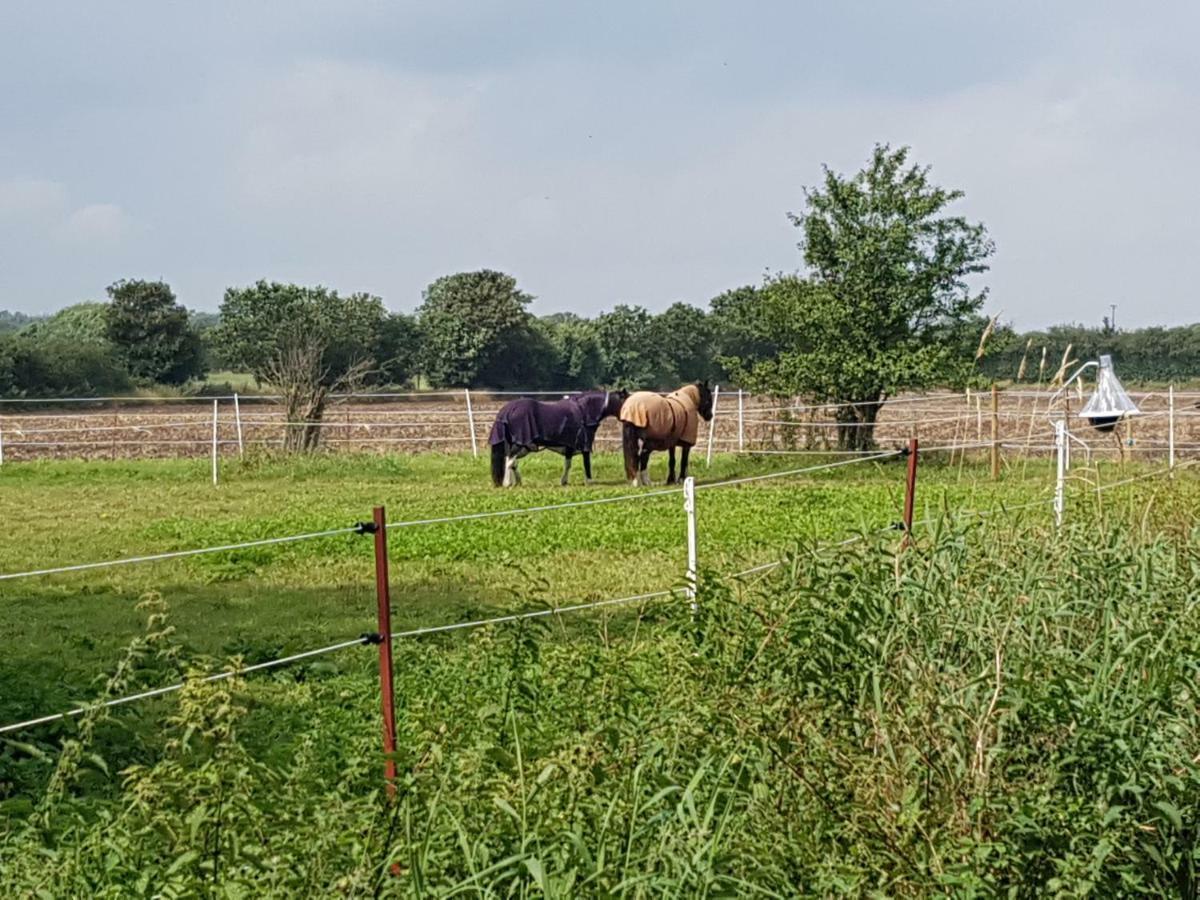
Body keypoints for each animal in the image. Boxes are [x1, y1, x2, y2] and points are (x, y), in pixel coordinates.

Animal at [487, 388, 628, 487]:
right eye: (626, 400)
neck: (584, 411)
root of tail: (508, 409)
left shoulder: (570, 446)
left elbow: (568, 464)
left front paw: (564, 481)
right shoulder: (585, 445)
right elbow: (586, 463)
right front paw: (589, 481)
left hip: (522, 446)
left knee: (512, 462)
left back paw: (517, 481)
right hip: (520, 444)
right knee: (509, 460)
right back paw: (507, 483)